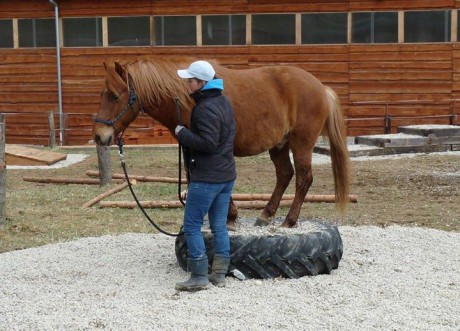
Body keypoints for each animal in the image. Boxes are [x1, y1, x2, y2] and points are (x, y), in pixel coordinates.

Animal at [95, 59, 350, 228]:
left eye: (114, 96)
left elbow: (202, 179)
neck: (187, 97)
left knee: (303, 178)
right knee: (285, 175)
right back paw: (266, 214)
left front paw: (229, 216)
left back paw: (289, 220)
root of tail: (321, 87)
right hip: (279, 145)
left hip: (301, 144)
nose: (99, 136)